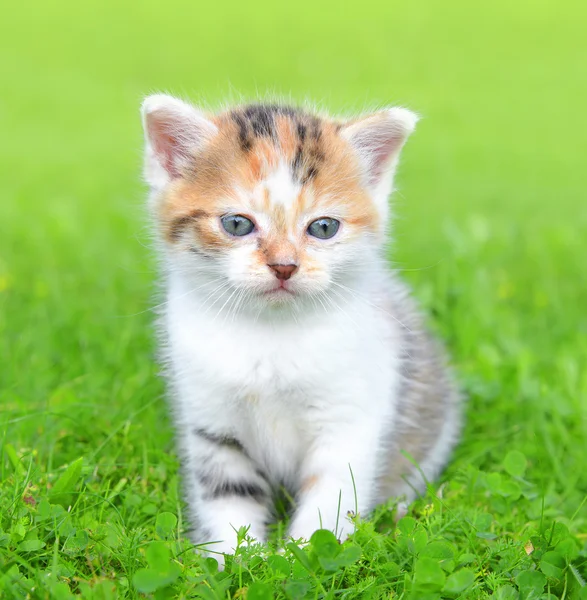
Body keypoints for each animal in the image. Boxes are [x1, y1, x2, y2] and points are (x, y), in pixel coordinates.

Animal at [140, 96, 462, 560]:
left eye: (323, 227)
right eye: (237, 224)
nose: (284, 265)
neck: (272, 334)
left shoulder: (350, 415)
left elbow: (332, 493)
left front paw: (304, 555)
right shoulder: (211, 420)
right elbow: (225, 491)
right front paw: (233, 559)